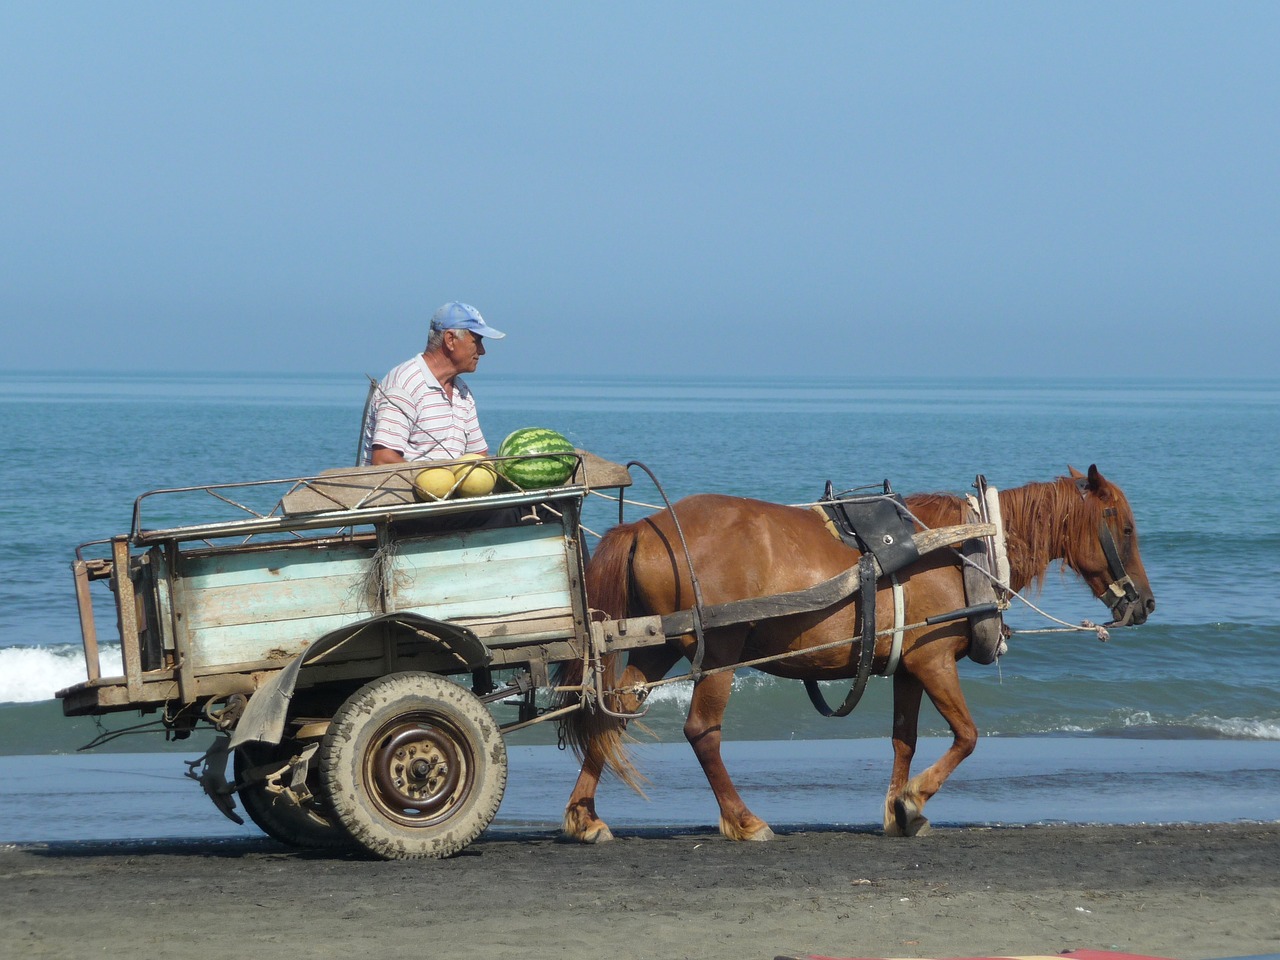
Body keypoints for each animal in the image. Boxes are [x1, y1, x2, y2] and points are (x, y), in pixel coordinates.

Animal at [555, 465, 1157, 839]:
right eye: (1126, 529)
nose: (1145, 604)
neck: (966, 547)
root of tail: (647, 524)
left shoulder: (910, 666)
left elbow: (904, 740)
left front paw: (899, 810)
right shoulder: (934, 661)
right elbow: (966, 736)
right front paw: (914, 799)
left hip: (654, 644)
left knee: (611, 711)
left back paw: (585, 816)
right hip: (719, 648)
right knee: (701, 731)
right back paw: (743, 820)